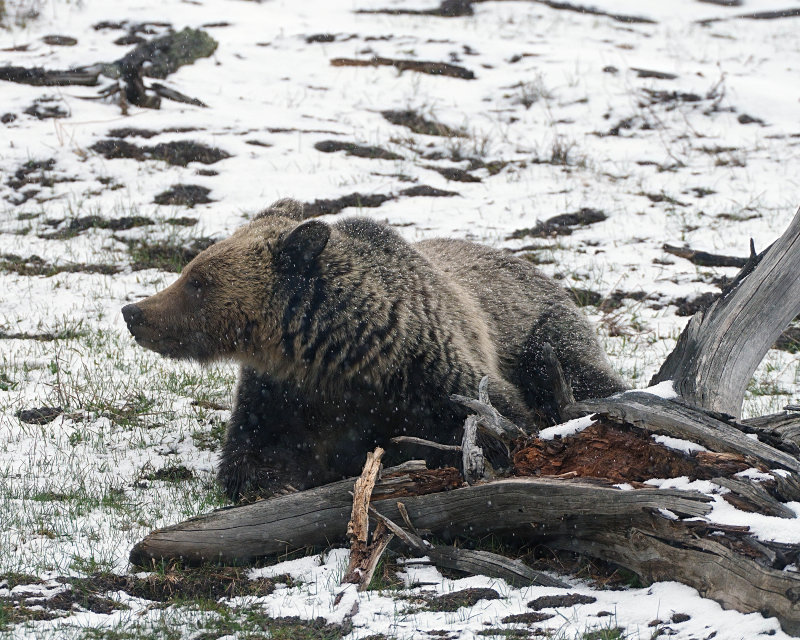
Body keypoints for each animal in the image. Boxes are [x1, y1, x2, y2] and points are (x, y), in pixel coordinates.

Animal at [123, 200, 624, 500]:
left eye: (197, 281)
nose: (134, 311)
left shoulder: (431, 373)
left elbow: (496, 426)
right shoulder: (281, 394)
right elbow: (252, 454)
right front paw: (277, 483)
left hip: (544, 330)